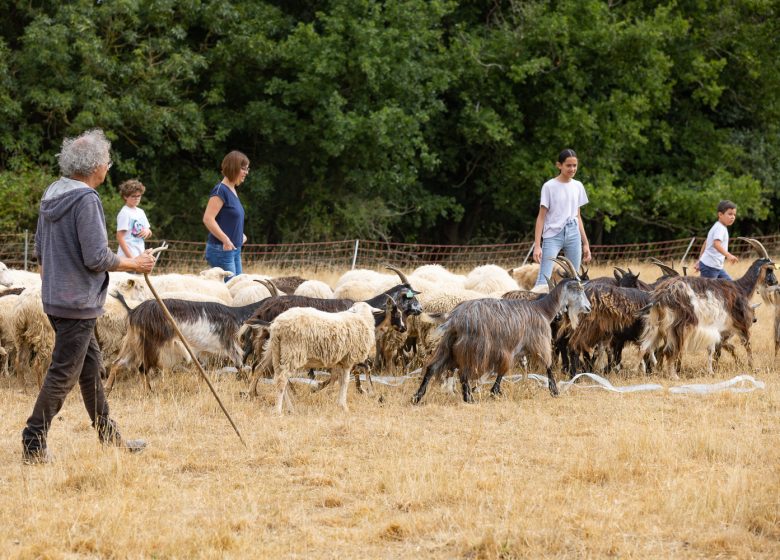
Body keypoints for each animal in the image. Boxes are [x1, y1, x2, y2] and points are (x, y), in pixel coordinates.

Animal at [412, 256, 588, 404]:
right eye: (579, 289)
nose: (588, 307)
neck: (542, 308)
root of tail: (454, 317)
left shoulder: (513, 348)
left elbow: (502, 370)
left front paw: (492, 390)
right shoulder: (538, 341)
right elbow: (548, 366)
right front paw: (555, 391)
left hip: (448, 344)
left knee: (432, 367)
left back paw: (417, 397)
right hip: (473, 347)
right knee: (463, 372)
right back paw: (468, 398)